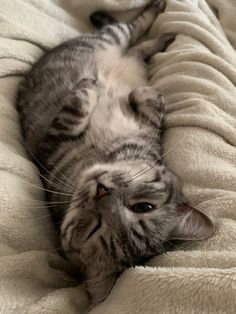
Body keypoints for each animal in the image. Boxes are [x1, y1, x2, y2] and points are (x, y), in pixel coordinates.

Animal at [16, 0, 216, 310]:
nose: (102, 190)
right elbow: (145, 103)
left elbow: (93, 106)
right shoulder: (55, 142)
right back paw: (158, 27)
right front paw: (123, 91)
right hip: (113, 37)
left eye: (94, 228)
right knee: (133, 35)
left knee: (133, 40)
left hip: (112, 37)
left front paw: (107, 89)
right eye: (144, 206)